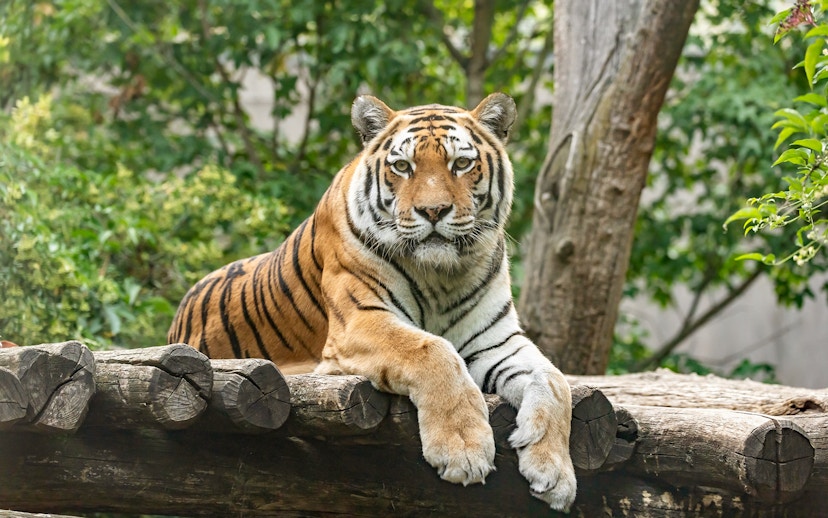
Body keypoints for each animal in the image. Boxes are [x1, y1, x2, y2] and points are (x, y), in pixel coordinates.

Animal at [168, 93, 577, 511]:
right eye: (403, 166)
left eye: (461, 164)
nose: (433, 211)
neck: (442, 276)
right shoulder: (360, 321)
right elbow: (433, 350)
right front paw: (464, 450)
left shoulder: (497, 341)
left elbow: (555, 381)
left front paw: (555, 473)